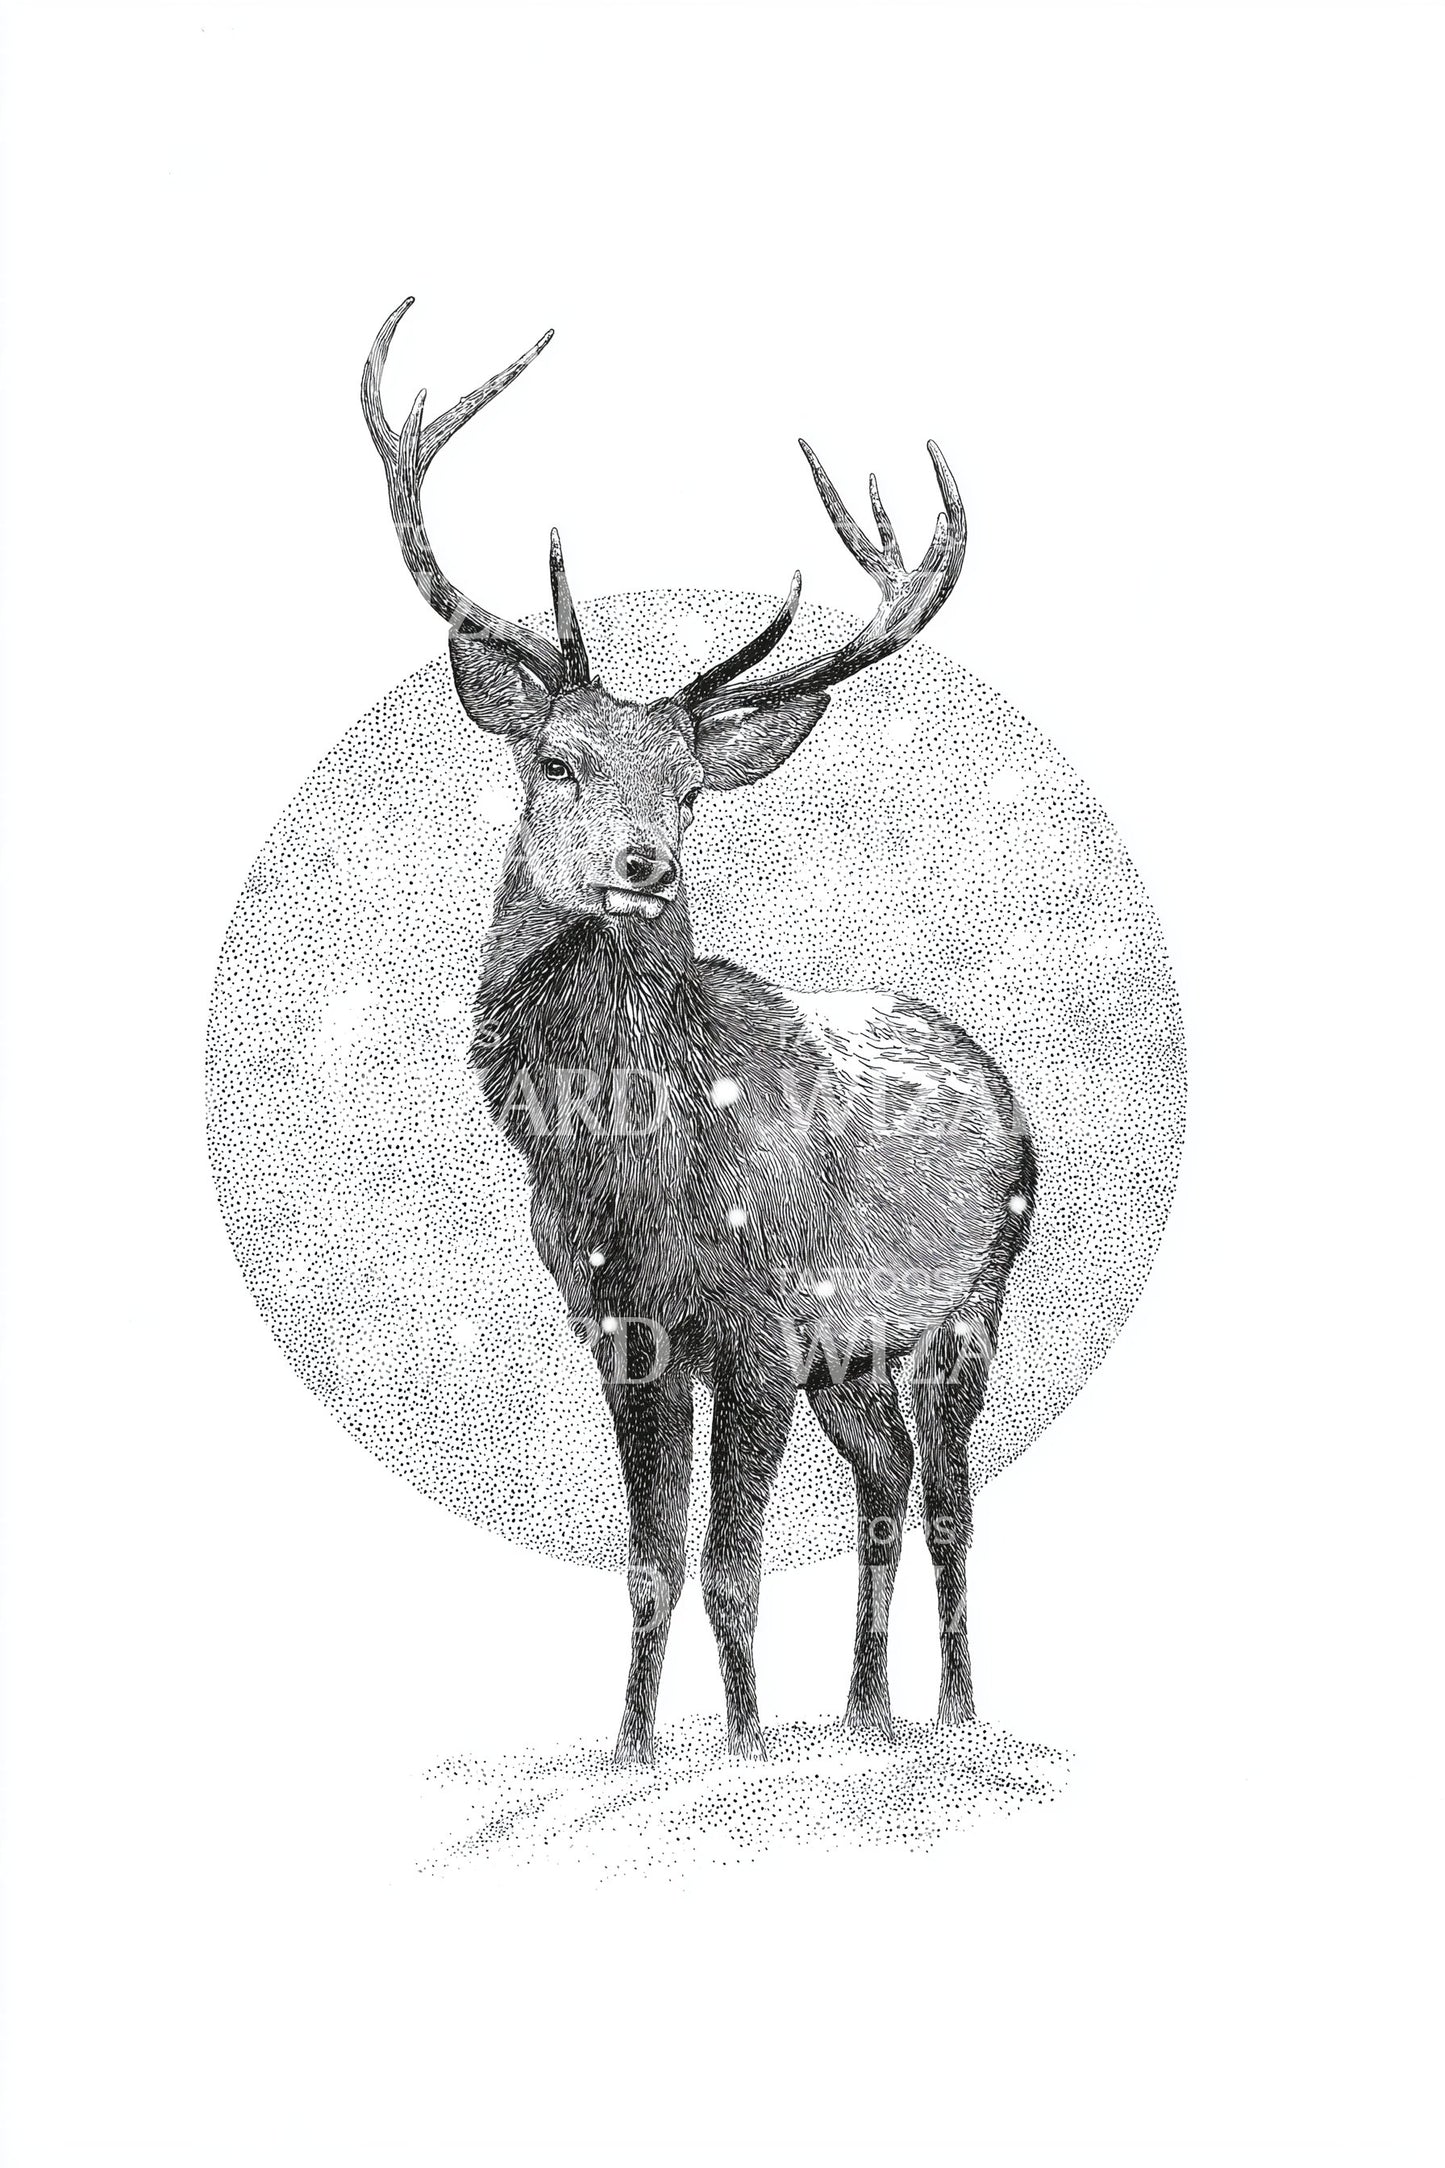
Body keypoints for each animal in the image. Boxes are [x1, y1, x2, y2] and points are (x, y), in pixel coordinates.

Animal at [362, 299, 1036, 1765]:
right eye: (554, 759)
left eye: (685, 787)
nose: (641, 865)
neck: (632, 1171)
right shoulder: (622, 1332)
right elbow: (650, 1563)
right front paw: (634, 1746)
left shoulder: (758, 1326)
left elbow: (731, 1564)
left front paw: (741, 1747)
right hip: (857, 1352)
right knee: (886, 1483)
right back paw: (865, 1712)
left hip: (973, 1296)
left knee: (950, 1501)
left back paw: (953, 1713)